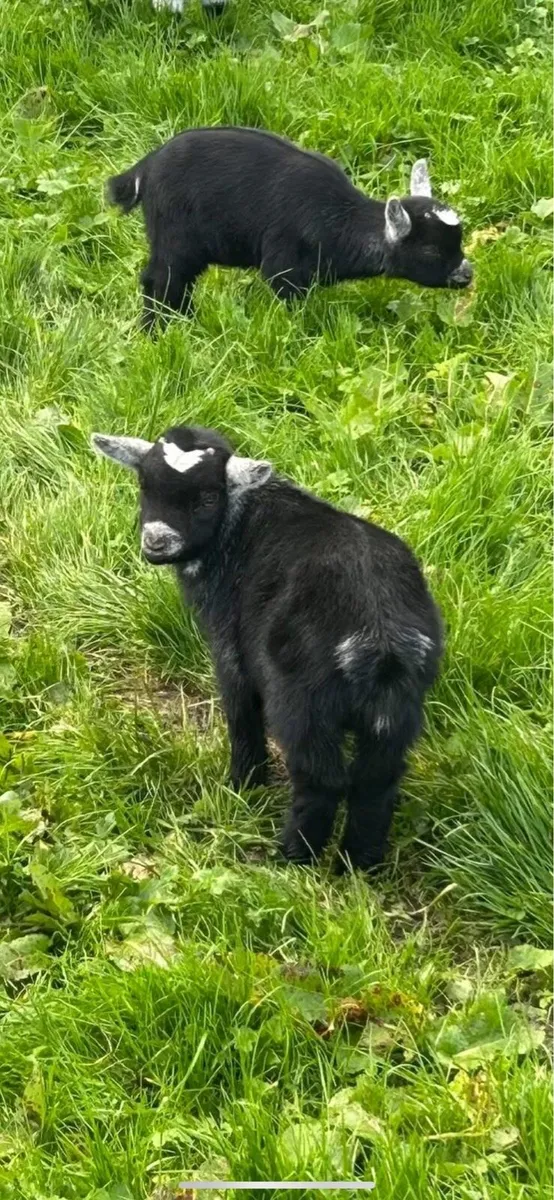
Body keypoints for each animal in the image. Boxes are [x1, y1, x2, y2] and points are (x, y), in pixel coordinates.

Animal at [91, 424, 443, 871]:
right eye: (144, 485)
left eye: (208, 498)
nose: (156, 542)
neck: (239, 525)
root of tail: (377, 637)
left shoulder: (229, 649)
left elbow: (242, 717)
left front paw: (243, 787)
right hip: (397, 706)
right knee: (376, 781)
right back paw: (358, 863)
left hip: (301, 699)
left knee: (321, 780)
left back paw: (293, 858)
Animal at [108, 126, 473, 330]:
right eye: (431, 249)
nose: (466, 275)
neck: (338, 219)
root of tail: (146, 167)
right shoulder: (284, 266)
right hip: (175, 238)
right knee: (160, 279)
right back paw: (156, 329)